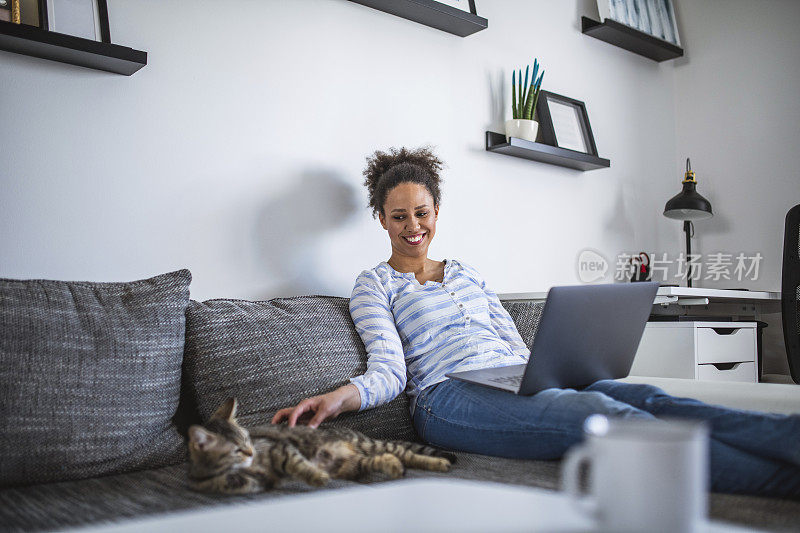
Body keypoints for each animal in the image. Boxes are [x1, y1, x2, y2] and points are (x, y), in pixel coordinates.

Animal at [184, 396, 454, 492]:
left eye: (248, 440)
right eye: (236, 449)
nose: (250, 452)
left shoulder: (281, 449)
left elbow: (297, 464)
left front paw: (315, 476)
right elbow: (228, 481)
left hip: (369, 446)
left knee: (404, 453)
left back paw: (439, 462)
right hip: (354, 465)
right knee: (385, 459)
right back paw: (395, 467)